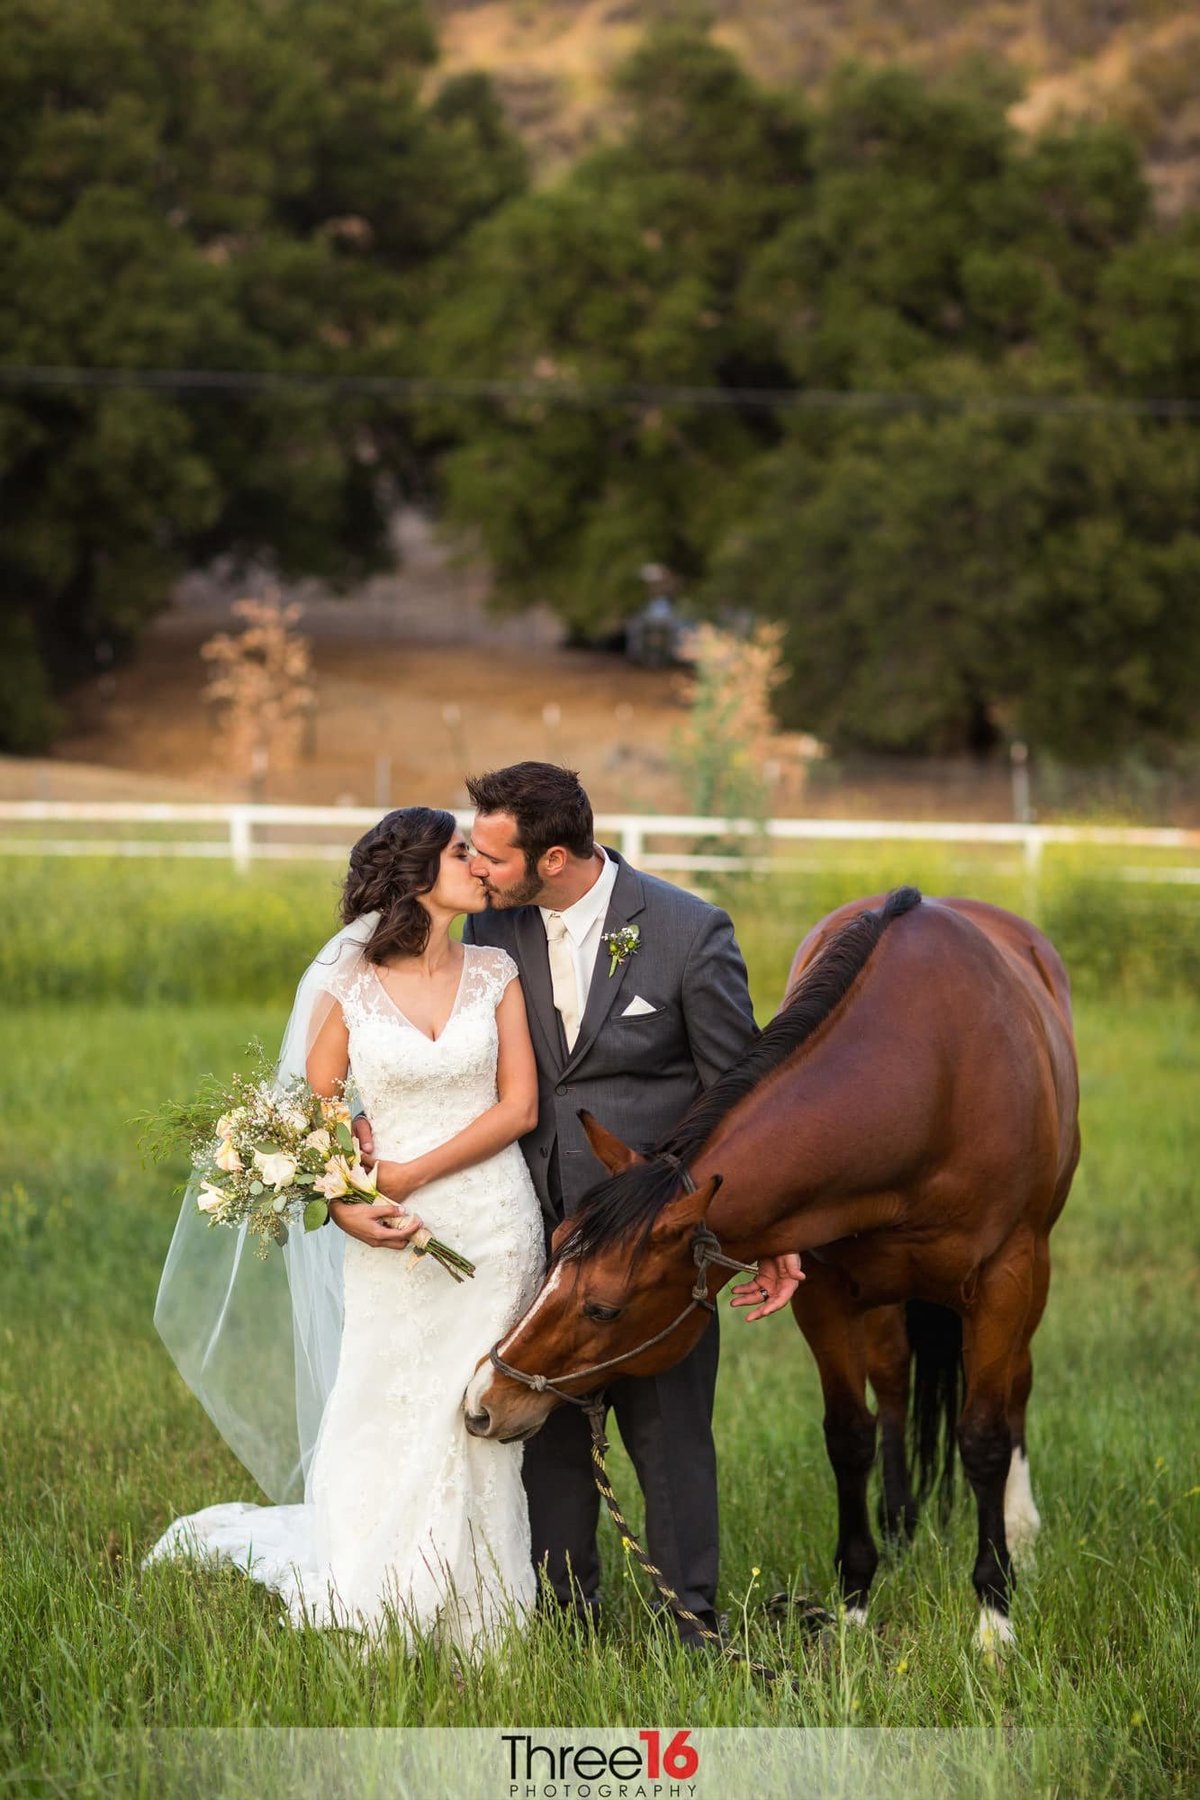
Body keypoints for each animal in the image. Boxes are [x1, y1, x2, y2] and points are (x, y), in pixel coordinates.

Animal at [467, 892, 1079, 1648]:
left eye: (603, 1308)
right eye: (552, 1256)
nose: (484, 1401)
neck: (933, 1071)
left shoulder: (1004, 1281)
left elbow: (985, 1437)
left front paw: (994, 1616)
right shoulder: (827, 1294)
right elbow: (849, 1436)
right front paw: (853, 1605)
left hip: (1026, 1287)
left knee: (1014, 1388)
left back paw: (1018, 1529)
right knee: (895, 1384)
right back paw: (901, 1526)